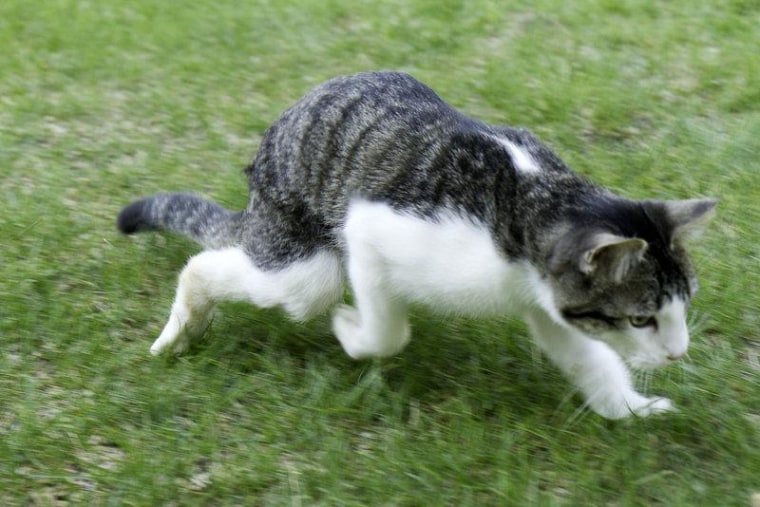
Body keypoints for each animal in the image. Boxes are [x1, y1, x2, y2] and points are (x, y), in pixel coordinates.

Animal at [116, 71, 716, 420]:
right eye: (641, 320)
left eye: (681, 308)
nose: (679, 351)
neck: (532, 202)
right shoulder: (368, 227)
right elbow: (388, 330)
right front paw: (350, 331)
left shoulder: (548, 300)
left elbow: (588, 358)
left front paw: (631, 408)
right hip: (302, 258)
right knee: (224, 269)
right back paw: (182, 326)